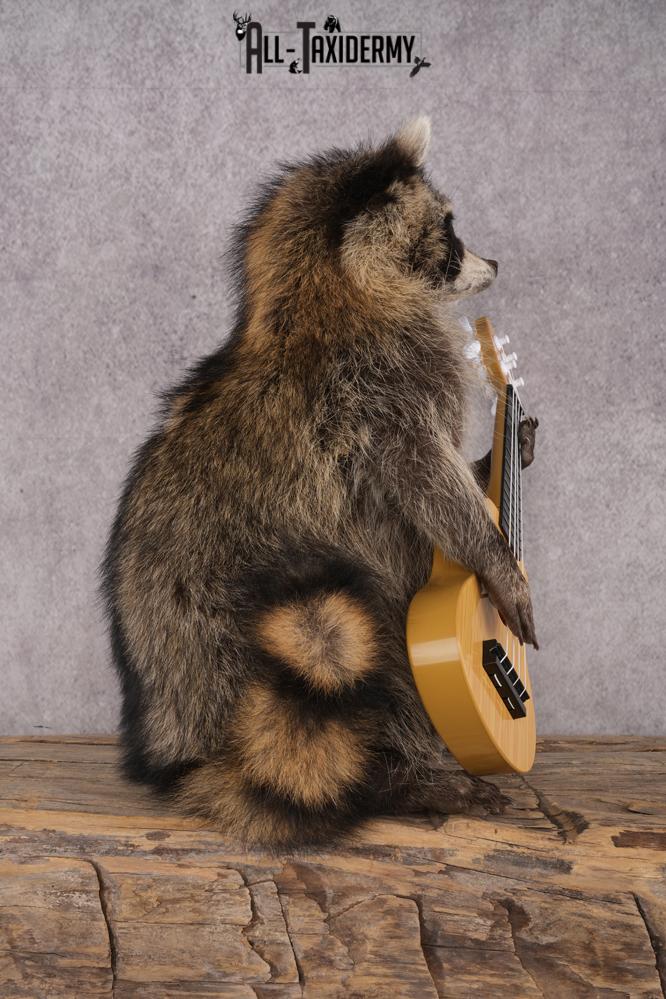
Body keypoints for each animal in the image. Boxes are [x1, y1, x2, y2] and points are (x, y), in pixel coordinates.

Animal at [102, 116, 538, 851]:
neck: (323, 288)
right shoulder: (382, 397)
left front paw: (497, 458)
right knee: (382, 658)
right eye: (449, 229)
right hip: (284, 627)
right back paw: (406, 777)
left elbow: (455, 470)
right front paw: (496, 555)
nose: (497, 264)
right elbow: (433, 487)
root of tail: (207, 750)